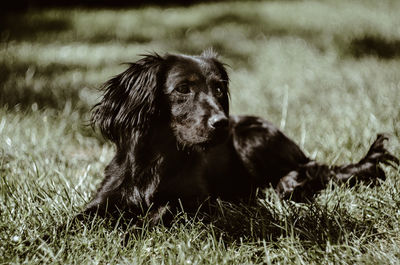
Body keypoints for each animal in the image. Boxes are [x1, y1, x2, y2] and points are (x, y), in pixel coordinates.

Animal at [83, 50, 398, 223]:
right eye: (183, 88)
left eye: (219, 88)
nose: (221, 123)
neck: (158, 159)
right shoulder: (104, 199)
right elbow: (80, 219)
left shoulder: (198, 202)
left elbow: (163, 210)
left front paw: (138, 225)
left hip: (252, 138)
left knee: (311, 169)